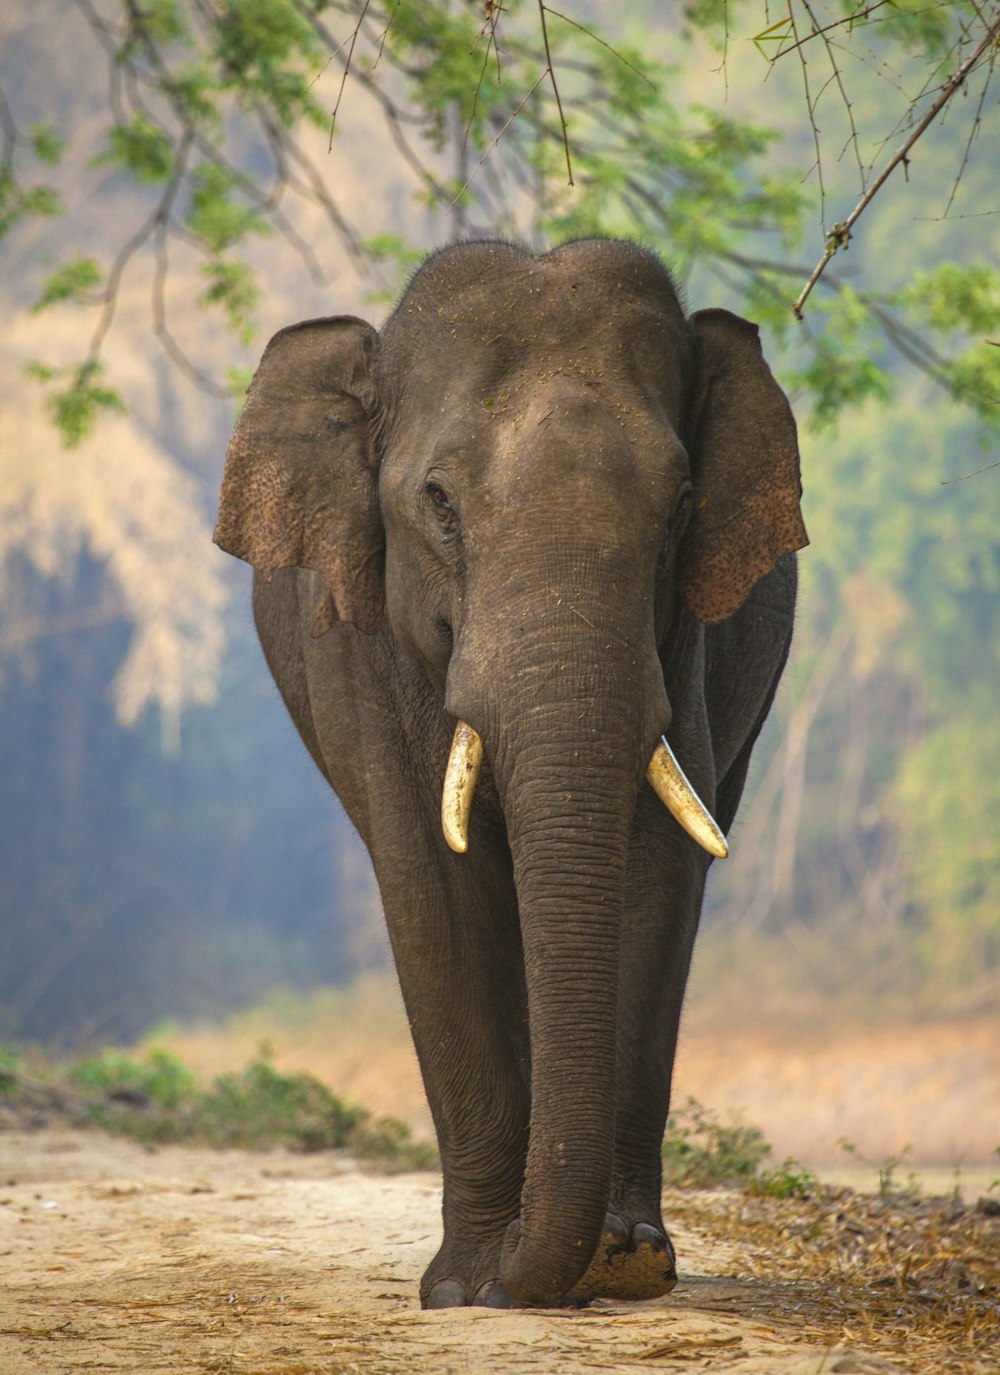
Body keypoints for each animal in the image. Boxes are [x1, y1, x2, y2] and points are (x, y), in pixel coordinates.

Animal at [214, 236, 808, 1309]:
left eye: (682, 505)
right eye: (438, 502)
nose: (518, 1275)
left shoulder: (685, 651)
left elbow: (656, 877)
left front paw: (622, 1261)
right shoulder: (365, 649)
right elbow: (432, 892)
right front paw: (466, 1286)